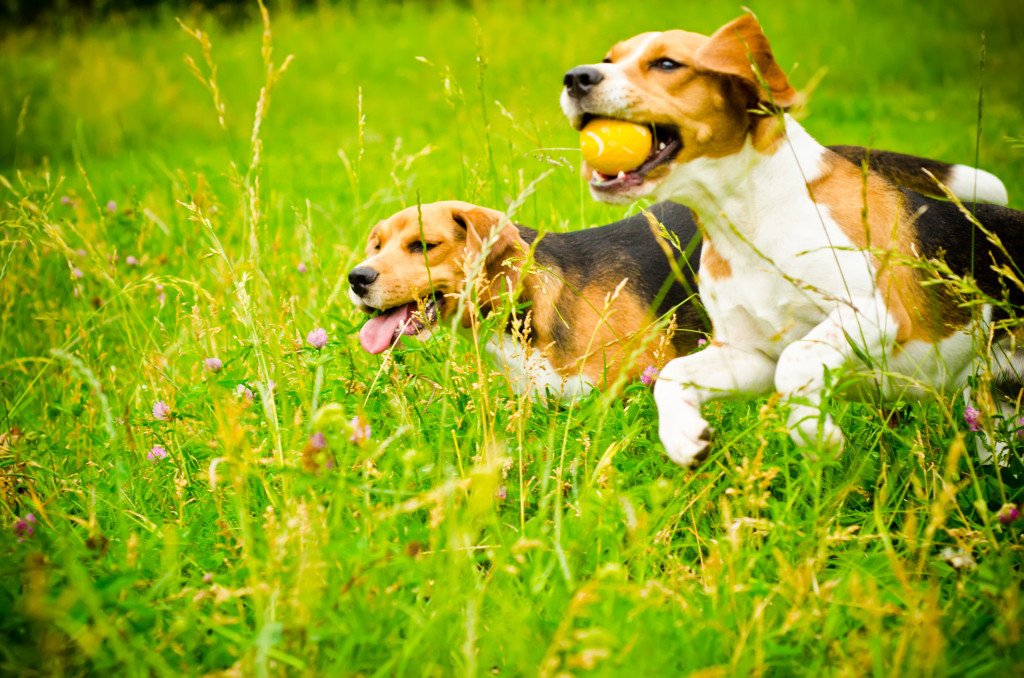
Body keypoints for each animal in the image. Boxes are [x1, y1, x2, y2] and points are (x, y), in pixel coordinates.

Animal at [565, 13, 1019, 467]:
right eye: (609, 59)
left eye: (666, 64)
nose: (575, 78)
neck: (750, 215)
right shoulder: (750, 353)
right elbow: (674, 374)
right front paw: (684, 436)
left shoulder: (878, 311)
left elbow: (795, 362)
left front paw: (817, 435)